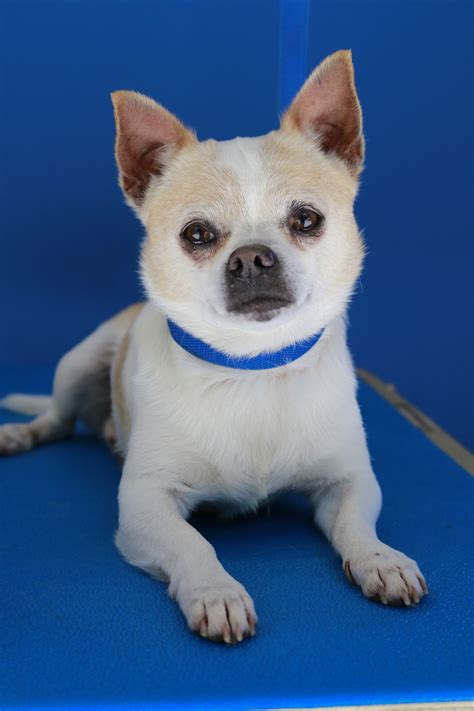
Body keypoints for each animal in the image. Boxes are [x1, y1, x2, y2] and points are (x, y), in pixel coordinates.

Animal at [0, 50, 428, 644]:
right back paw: (25, 432)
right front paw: (215, 592)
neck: (252, 366)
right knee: (59, 421)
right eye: (197, 235)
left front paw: (381, 561)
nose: (251, 257)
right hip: (78, 363)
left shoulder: (351, 482)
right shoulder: (145, 504)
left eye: (307, 220)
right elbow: (193, 544)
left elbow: (355, 527)